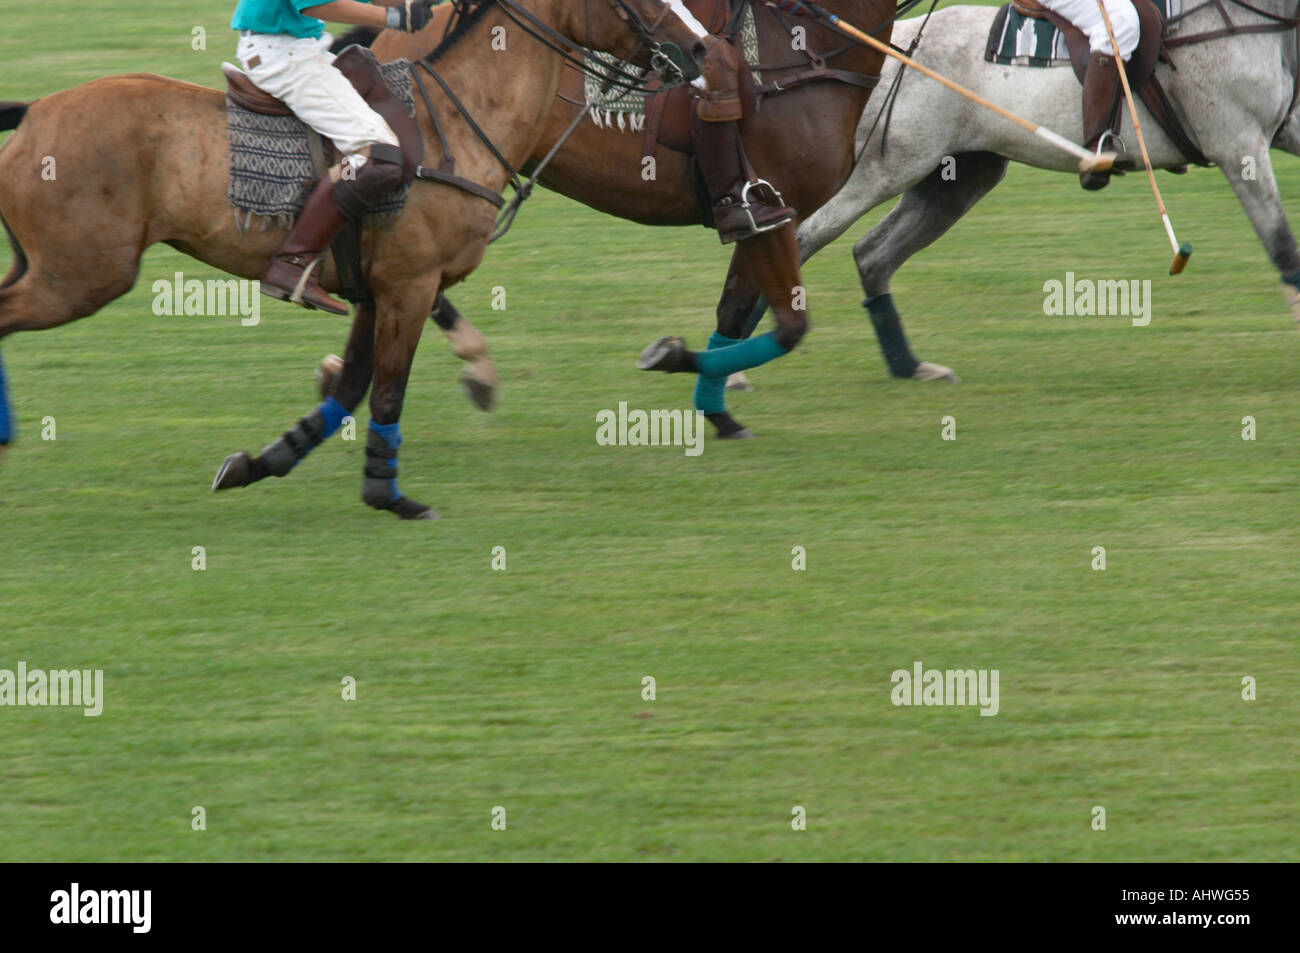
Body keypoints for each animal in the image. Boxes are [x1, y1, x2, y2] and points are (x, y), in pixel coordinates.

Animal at [0, 0, 712, 517]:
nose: (704, 48)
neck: (462, 112)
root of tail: (32, 111)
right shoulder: (411, 284)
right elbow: (389, 390)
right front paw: (389, 496)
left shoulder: (377, 290)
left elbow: (350, 386)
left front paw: (256, 465)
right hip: (79, 275)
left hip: (49, 267)